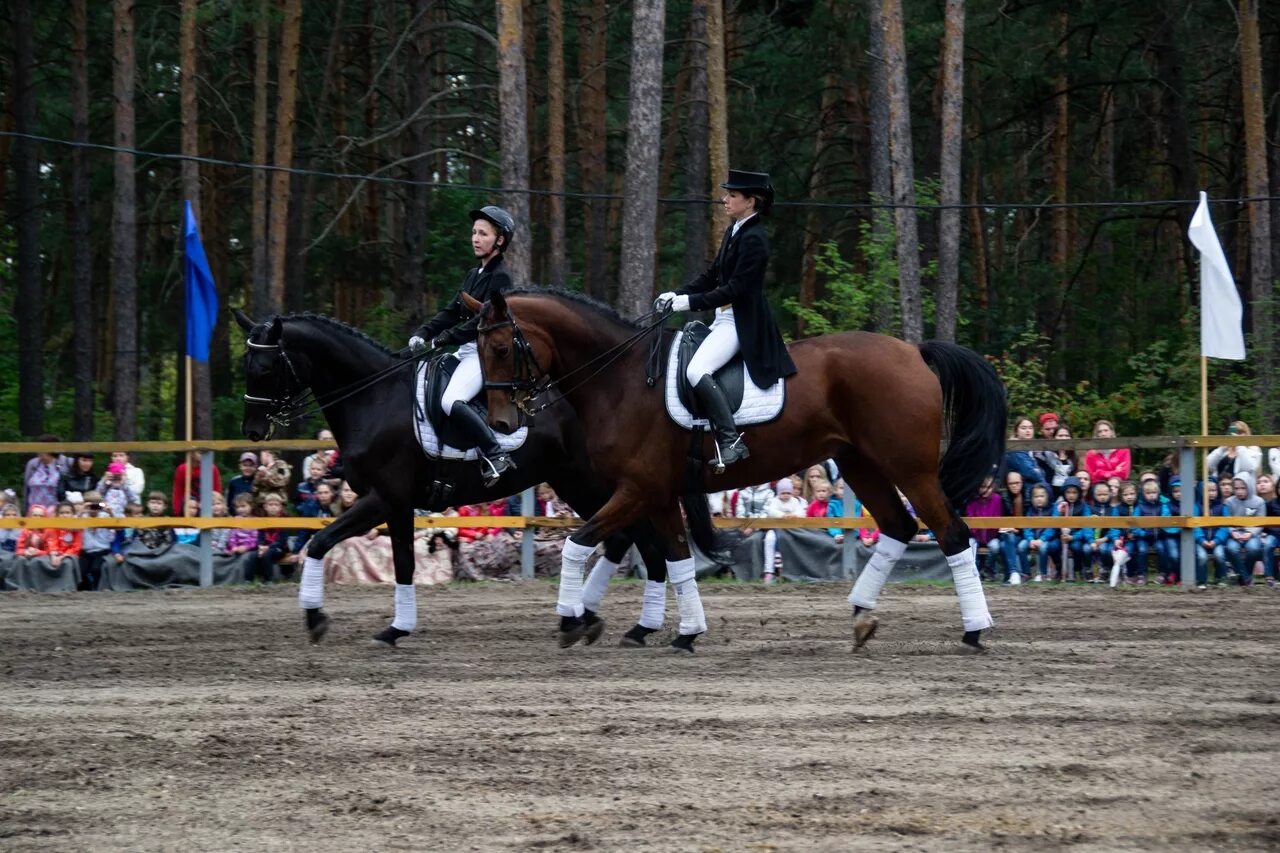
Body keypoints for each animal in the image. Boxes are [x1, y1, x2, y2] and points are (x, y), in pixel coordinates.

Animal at [230, 311, 711, 645]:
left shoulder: (382, 498)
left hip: (601, 485)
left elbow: (319, 542)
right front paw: (397, 628)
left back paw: (610, 620)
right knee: (628, 540)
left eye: (265, 369)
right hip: (583, 486)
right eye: (246, 364)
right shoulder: (398, 504)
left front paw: (315, 618)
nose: (252, 430)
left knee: (638, 540)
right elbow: (403, 562)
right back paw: (605, 618)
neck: (374, 398)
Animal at [465, 286, 1003, 650]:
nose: (500, 422)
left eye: (500, 349)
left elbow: (578, 544)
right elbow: (678, 560)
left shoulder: (637, 489)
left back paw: (974, 632)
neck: (621, 380)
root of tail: (913, 351)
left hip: (910, 470)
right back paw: (862, 617)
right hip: (861, 464)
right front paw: (686, 632)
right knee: (898, 526)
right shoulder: (658, 493)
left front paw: (571, 621)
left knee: (952, 534)